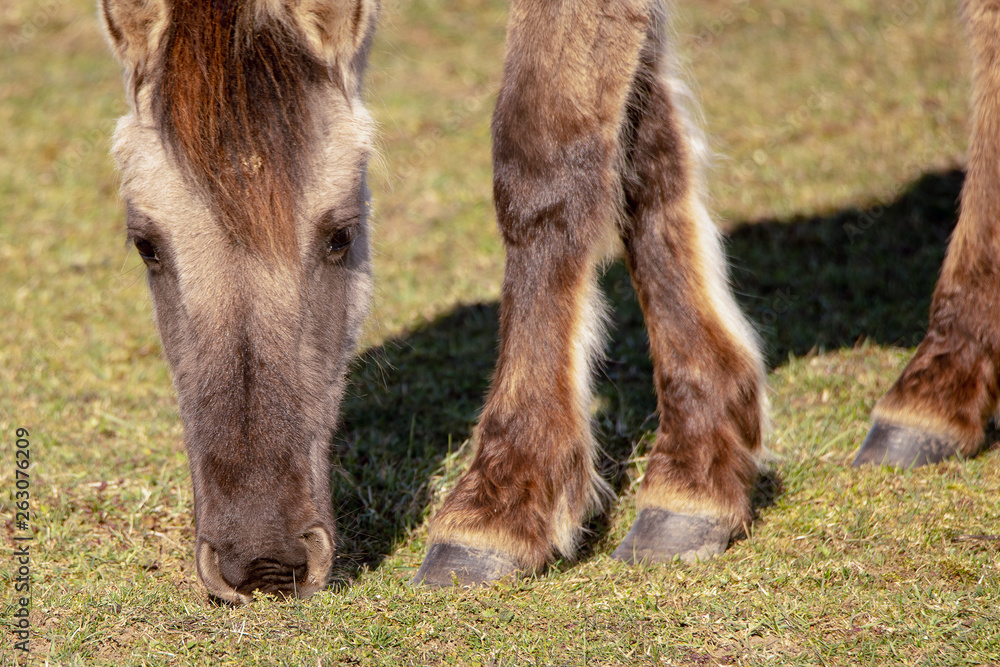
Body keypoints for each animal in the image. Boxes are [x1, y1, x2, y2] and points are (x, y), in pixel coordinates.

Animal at [98, 0, 999, 601]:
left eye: (340, 235)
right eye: (145, 241)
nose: (263, 561)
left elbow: (543, 150)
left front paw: (505, 502)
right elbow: (640, 145)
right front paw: (701, 470)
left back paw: (939, 388)